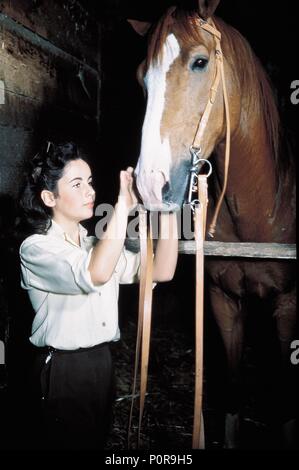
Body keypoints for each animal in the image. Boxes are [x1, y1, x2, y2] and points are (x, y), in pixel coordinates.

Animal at [128, 0, 298, 448]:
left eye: (200, 62)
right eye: (141, 78)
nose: (149, 184)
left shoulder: (287, 307)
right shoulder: (223, 301)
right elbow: (233, 391)